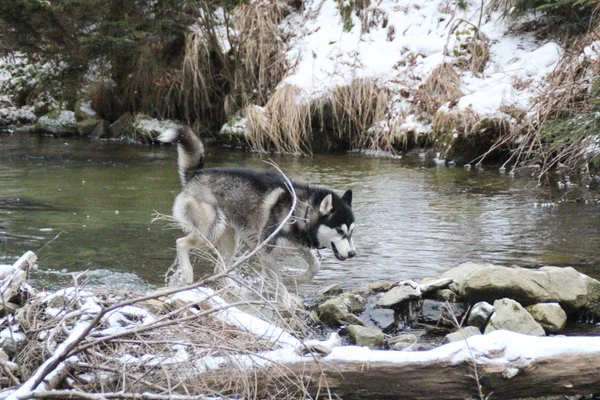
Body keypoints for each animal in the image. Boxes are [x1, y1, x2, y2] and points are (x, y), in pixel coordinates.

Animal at [159, 126, 356, 282]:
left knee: (219, 270)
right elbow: (279, 285)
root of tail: (197, 174)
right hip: (211, 230)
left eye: (351, 232)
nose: (353, 254)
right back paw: (188, 273)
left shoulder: (298, 246)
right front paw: (288, 301)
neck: (299, 212)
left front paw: (297, 280)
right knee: (180, 243)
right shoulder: (265, 253)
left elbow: (315, 266)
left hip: (230, 239)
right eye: (340, 231)